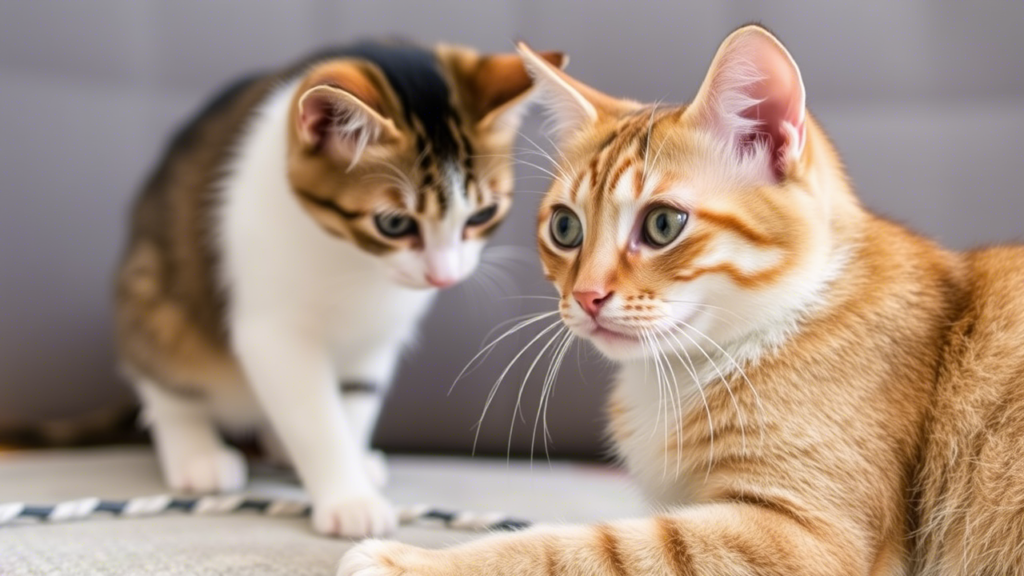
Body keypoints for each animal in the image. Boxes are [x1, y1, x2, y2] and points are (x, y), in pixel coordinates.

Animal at [115, 41, 565, 537]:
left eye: (481, 216)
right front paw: (350, 499)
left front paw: (352, 467)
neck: (358, 263)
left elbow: (354, 400)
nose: (442, 277)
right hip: (153, 301)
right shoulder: (273, 333)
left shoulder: (377, 337)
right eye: (394, 224)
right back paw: (197, 454)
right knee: (165, 381)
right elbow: (317, 418)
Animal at [339, 24, 1024, 569]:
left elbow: (582, 546)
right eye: (565, 227)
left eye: (663, 224)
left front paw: (413, 560)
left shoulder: (806, 534)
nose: (586, 295)